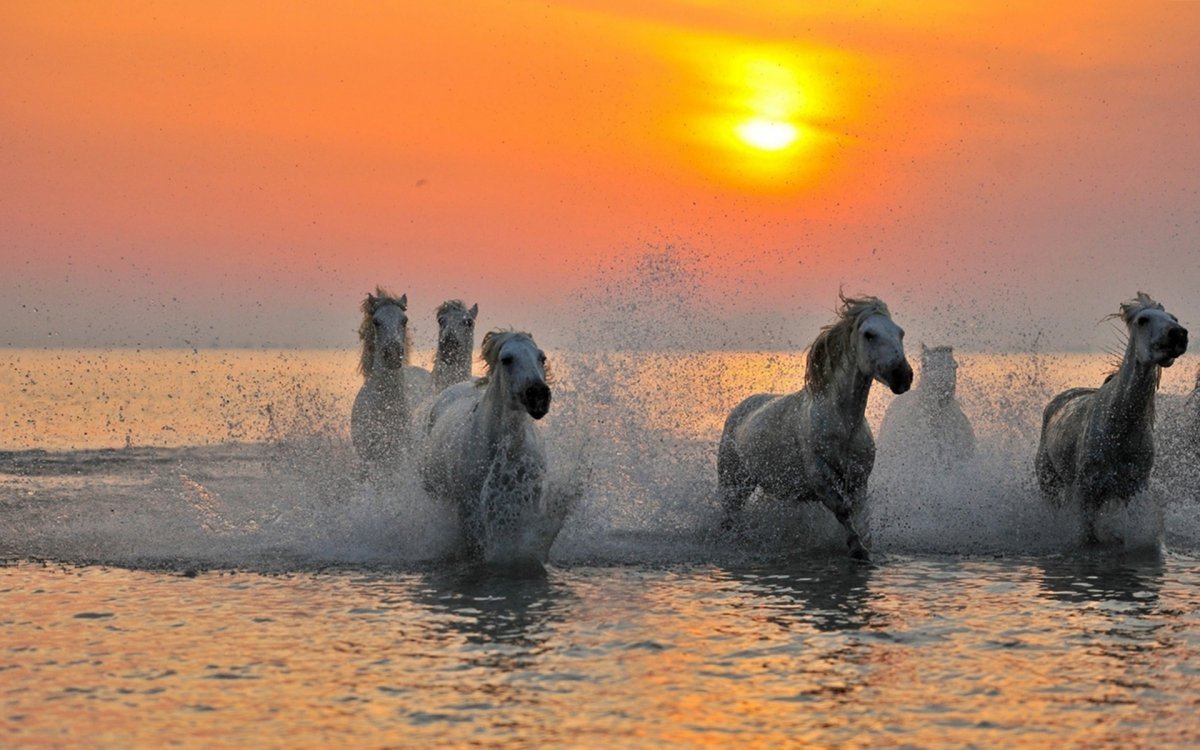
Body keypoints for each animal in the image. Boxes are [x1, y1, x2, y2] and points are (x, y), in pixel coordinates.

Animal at [717, 294, 913, 560]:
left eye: (900, 333)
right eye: (869, 334)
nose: (903, 376)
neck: (843, 424)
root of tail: (739, 410)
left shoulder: (859, 480)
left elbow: (861, 515)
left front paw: (865, 547)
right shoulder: (820, 477)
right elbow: (843, 509)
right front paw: (857, 548)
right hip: (734, 483)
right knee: (729, 517)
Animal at [1035, 292, 1188, 543]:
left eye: (1173, 318)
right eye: (1142, 320)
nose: (1178, 335)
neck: (1119, 426)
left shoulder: (1133, 489)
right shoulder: (1086, 493)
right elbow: (1087, 538)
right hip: (1049, 483)